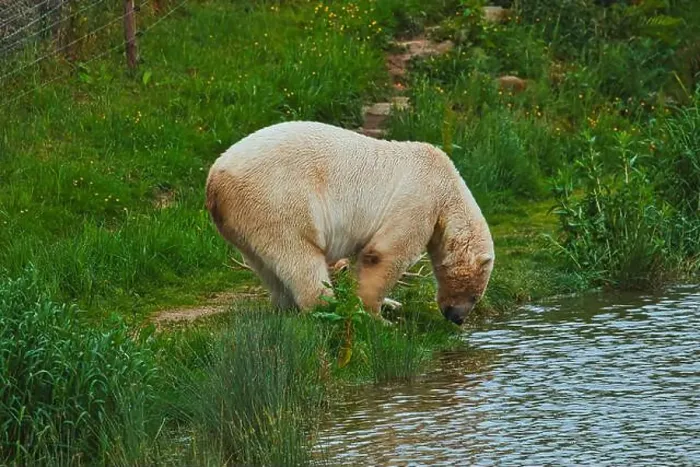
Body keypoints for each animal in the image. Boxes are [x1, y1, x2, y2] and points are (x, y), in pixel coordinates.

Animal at [205, 121, 494, 325]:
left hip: (243, 219)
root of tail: (215, 180)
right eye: (474, 295)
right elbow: (385, 254)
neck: (448, 188)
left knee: (266, 265)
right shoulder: (419, 200)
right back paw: (326, 307)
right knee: (299, 256)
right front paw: (377, 317)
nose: (457, 318)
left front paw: (391, 304)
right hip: (278, 200)